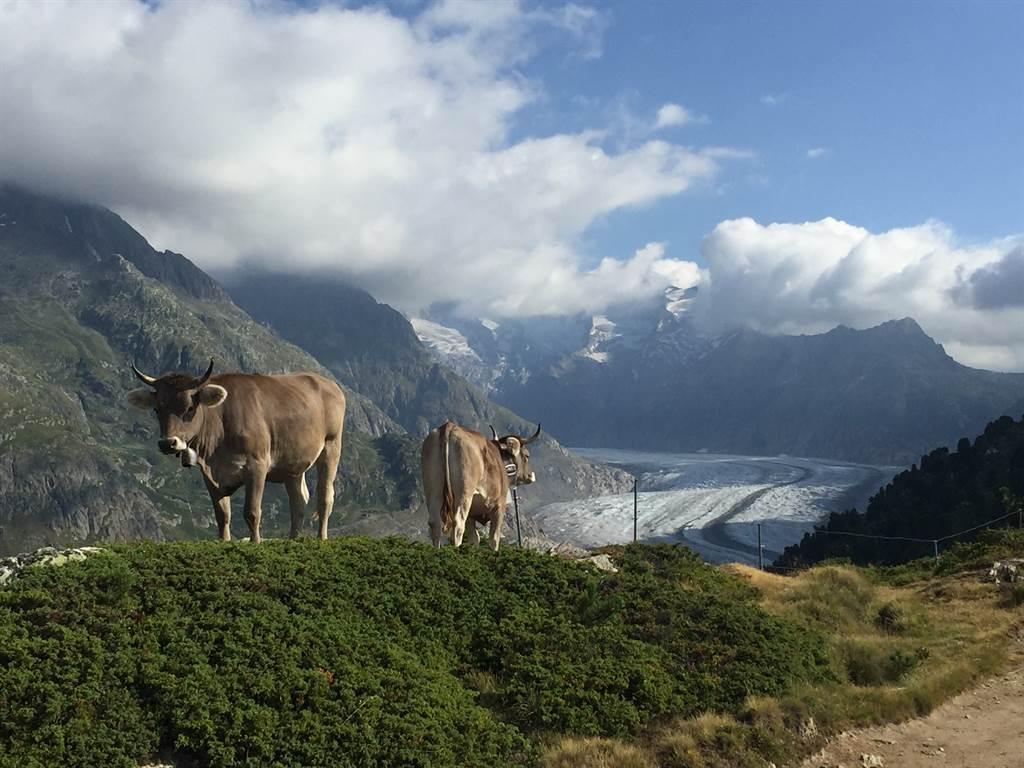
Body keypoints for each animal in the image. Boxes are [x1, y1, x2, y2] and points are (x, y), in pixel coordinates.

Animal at [127, 359, 345, 543]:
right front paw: (224, 542)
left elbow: (252, 512)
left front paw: (256, 543)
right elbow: (222, 515)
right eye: (157, 409)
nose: (167, 443)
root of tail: (329, 383)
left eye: (189, 408)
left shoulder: (257, 465)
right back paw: (293, 539)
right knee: (298, 501)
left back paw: (321, 538)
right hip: (293, 463)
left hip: (331, 446)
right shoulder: (210, 475)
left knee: (324, 497)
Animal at [421, 420, 540, 551]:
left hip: (432, 490)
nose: (531, 475)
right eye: (527, 456)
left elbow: (474, 538)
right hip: (464, 492)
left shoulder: (472, 515)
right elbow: (494, 538)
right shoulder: (499, 506)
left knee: (435, 523)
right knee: (458, 524)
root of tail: (449, 426)